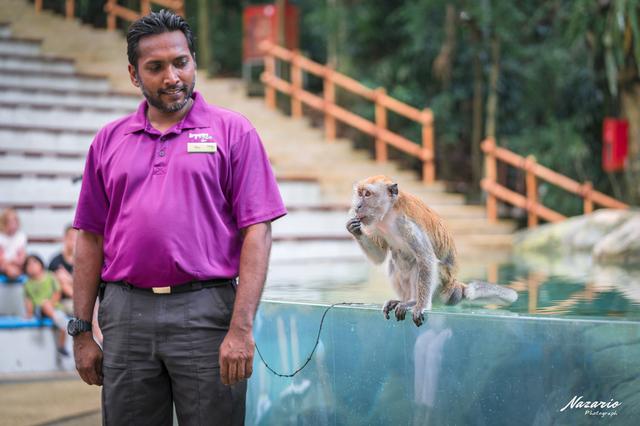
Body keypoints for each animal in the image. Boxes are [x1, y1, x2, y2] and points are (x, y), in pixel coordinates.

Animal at [348, 176, 516, 326]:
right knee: (393, 262)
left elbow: (426, 258)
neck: (389, 212)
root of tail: (455, 287)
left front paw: (420, 306)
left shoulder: (407, 224)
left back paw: (413, 301)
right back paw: (402, 300)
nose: (357, 206)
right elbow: (380, 257)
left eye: (367, 194)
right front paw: (354, 229)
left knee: (418, 264)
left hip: (442, 287)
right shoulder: (376, 224)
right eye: (359, 193)